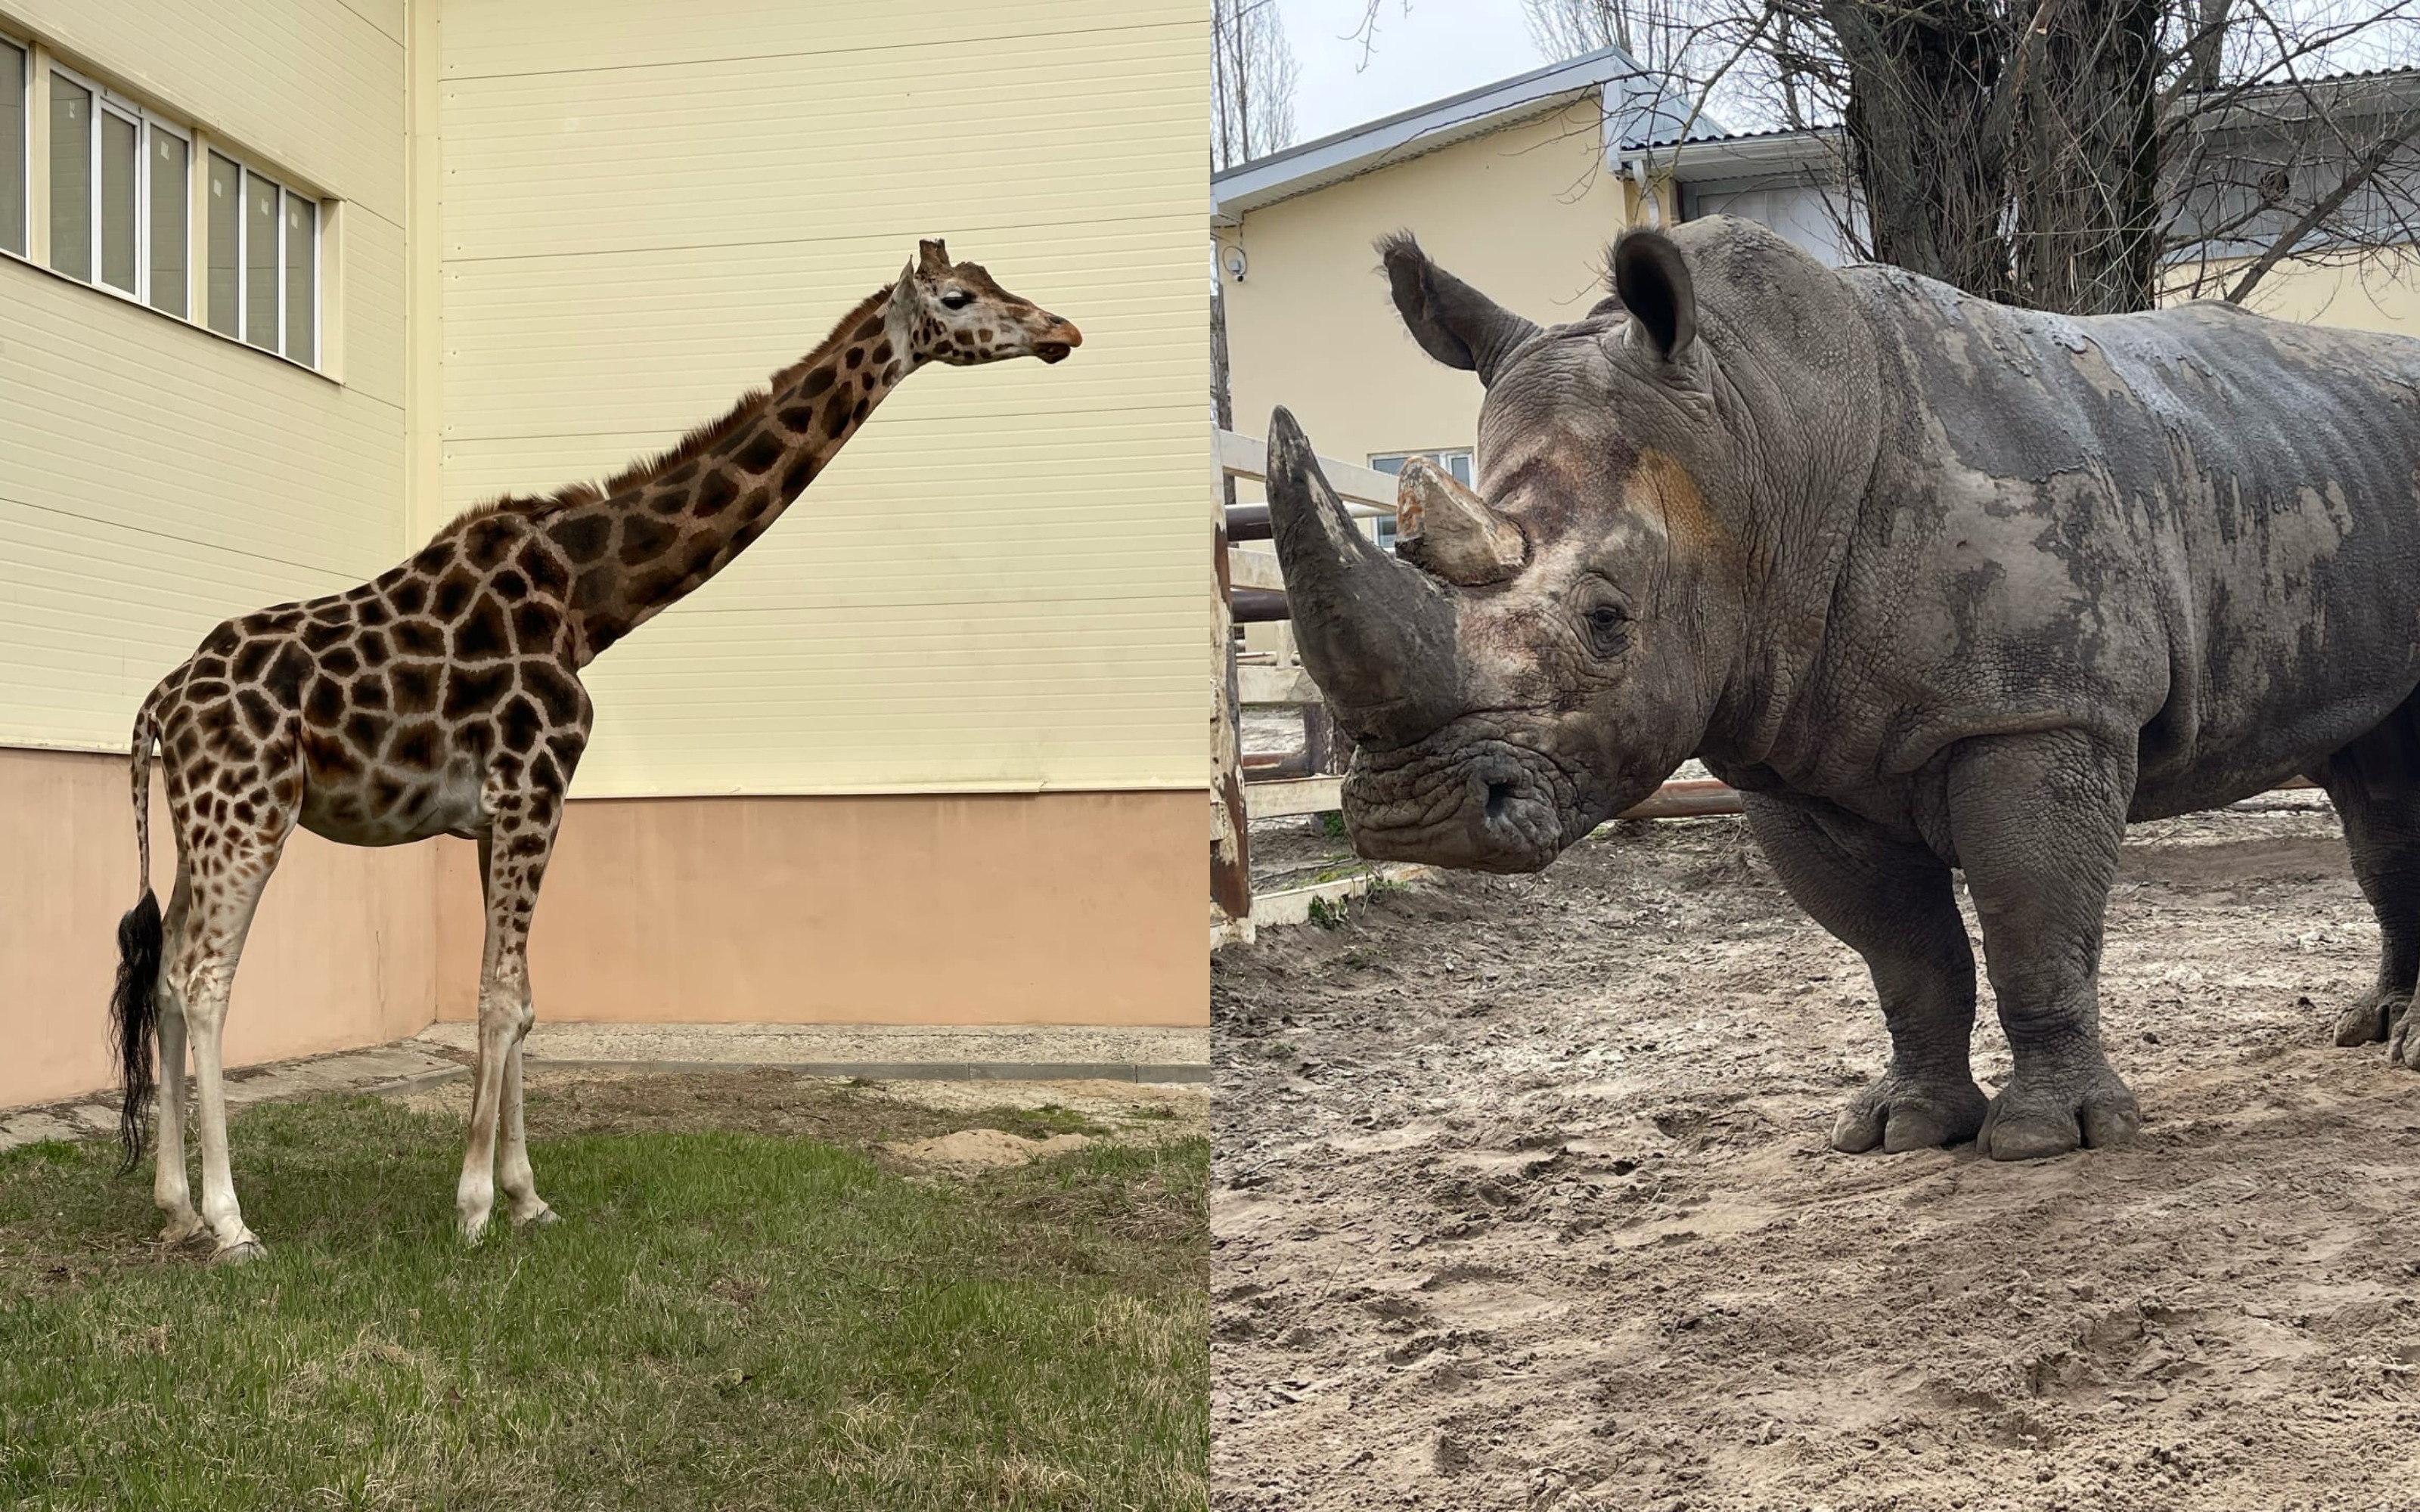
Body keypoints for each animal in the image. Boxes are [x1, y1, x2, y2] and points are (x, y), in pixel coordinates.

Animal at [106, 242, 1079, 1258]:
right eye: (960, 297)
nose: (1064, 331)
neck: (589, 597)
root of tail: (158, 703)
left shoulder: (497, 814)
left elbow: (522, 996)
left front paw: (527, 1196)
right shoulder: (535, 788)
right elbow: (500, 998)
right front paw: (474, 1207)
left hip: (199, 823)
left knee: (165, 973)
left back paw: (174, 1205)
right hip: (249, 813)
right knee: (204, 978)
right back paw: (230, 1220)